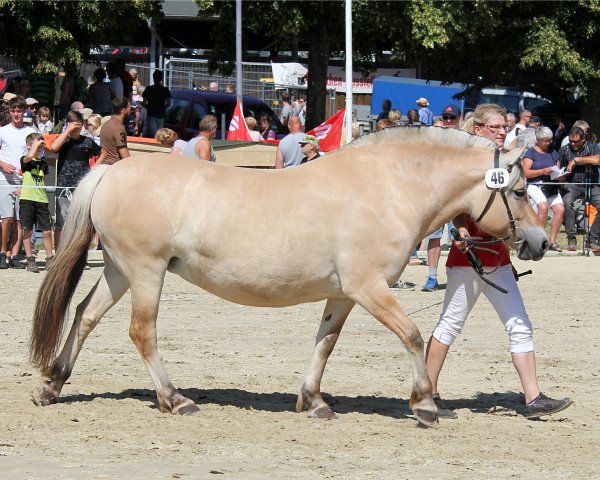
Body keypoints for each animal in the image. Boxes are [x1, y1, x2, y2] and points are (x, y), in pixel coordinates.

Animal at [31, 127, 548, 428]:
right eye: (520, 190)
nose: (541, 243)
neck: (388, 187)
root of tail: (110, 173)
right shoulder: (369, 288)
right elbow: (413, 335)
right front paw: (423, 404)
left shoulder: (345, 294)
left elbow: (326, 342)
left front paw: (313, 401)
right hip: (145, 271)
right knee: (141, 332)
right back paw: (175, 399)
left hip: (120, 271)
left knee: (85, 315)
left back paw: (53, 385)